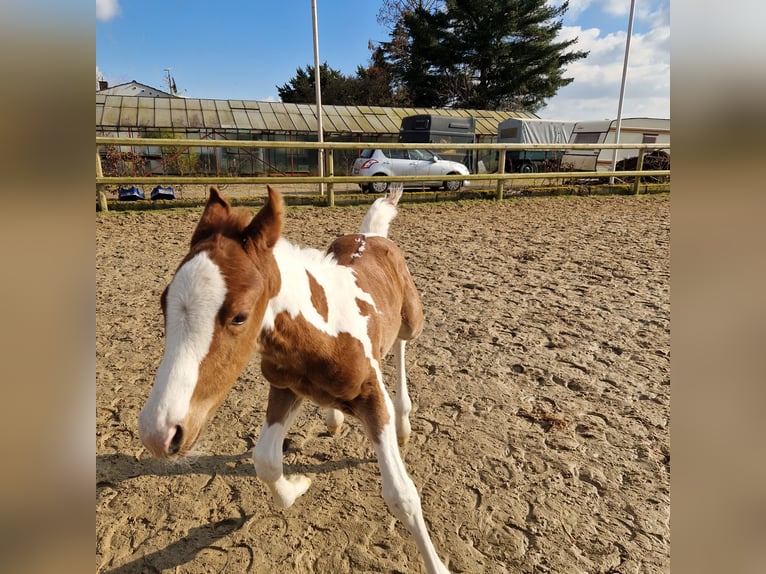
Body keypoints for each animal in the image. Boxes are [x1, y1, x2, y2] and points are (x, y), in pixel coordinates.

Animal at [137, 185, 450, 573]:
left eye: (239, 316)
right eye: (162, 302)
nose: (157, 434)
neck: (322, 334)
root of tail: (373, 234)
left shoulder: (372, 399)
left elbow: (402, 495)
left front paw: (437, 566)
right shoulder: (286, 388)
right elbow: (266, 461)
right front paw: (299, 484)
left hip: (411, 319)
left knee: (403, 344)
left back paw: (403, 419)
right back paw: (333, 416)